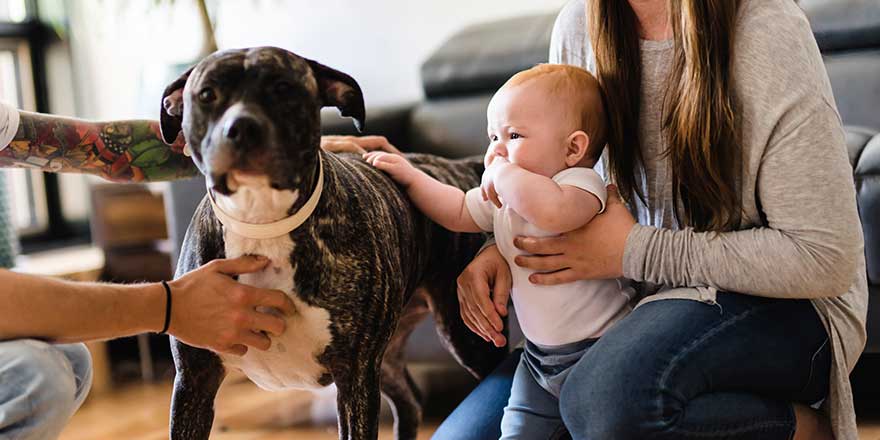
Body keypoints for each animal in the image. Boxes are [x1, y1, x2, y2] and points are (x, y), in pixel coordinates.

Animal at [156, 46, 502, 438]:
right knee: (410, 399)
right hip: (388, 353)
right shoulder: (194, 381)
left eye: (283, 88)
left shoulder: (355, 377)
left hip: (464, 336)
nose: (241, 127)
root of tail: (457, 166)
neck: (263, 220)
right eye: (207, 95)